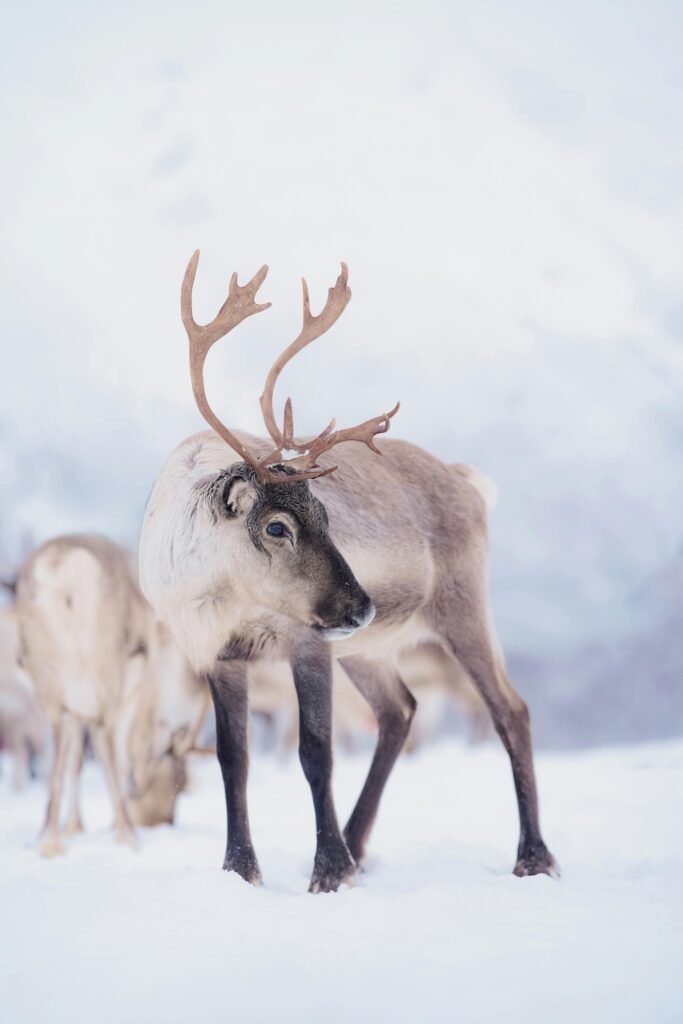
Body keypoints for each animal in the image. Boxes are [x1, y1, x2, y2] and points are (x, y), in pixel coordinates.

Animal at [15, 534, 208, 855]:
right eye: (177, 783)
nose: (164, 821)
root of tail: (62, 568)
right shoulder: (134, 681)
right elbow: (120, 753)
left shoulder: (75, 701)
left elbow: (75, 758)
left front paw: (72, 827)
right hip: (104, 670)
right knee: (102, 738)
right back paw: (127, 834)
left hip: (49, 679)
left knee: (59, 741)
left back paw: (51, 838)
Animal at [138, 252, 557, 893]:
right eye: (277, 526)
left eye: (325, 512)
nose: (361, 607)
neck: (222, 595)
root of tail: (468, 482)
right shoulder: (218, 654)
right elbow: (234, 758)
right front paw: (241, 869)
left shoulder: (306, 641)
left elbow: (317, 752)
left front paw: (329, 872)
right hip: (367, 649)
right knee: (399, 710)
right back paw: (361, 843)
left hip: (461, 607)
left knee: (511, 709)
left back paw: (533, 856)